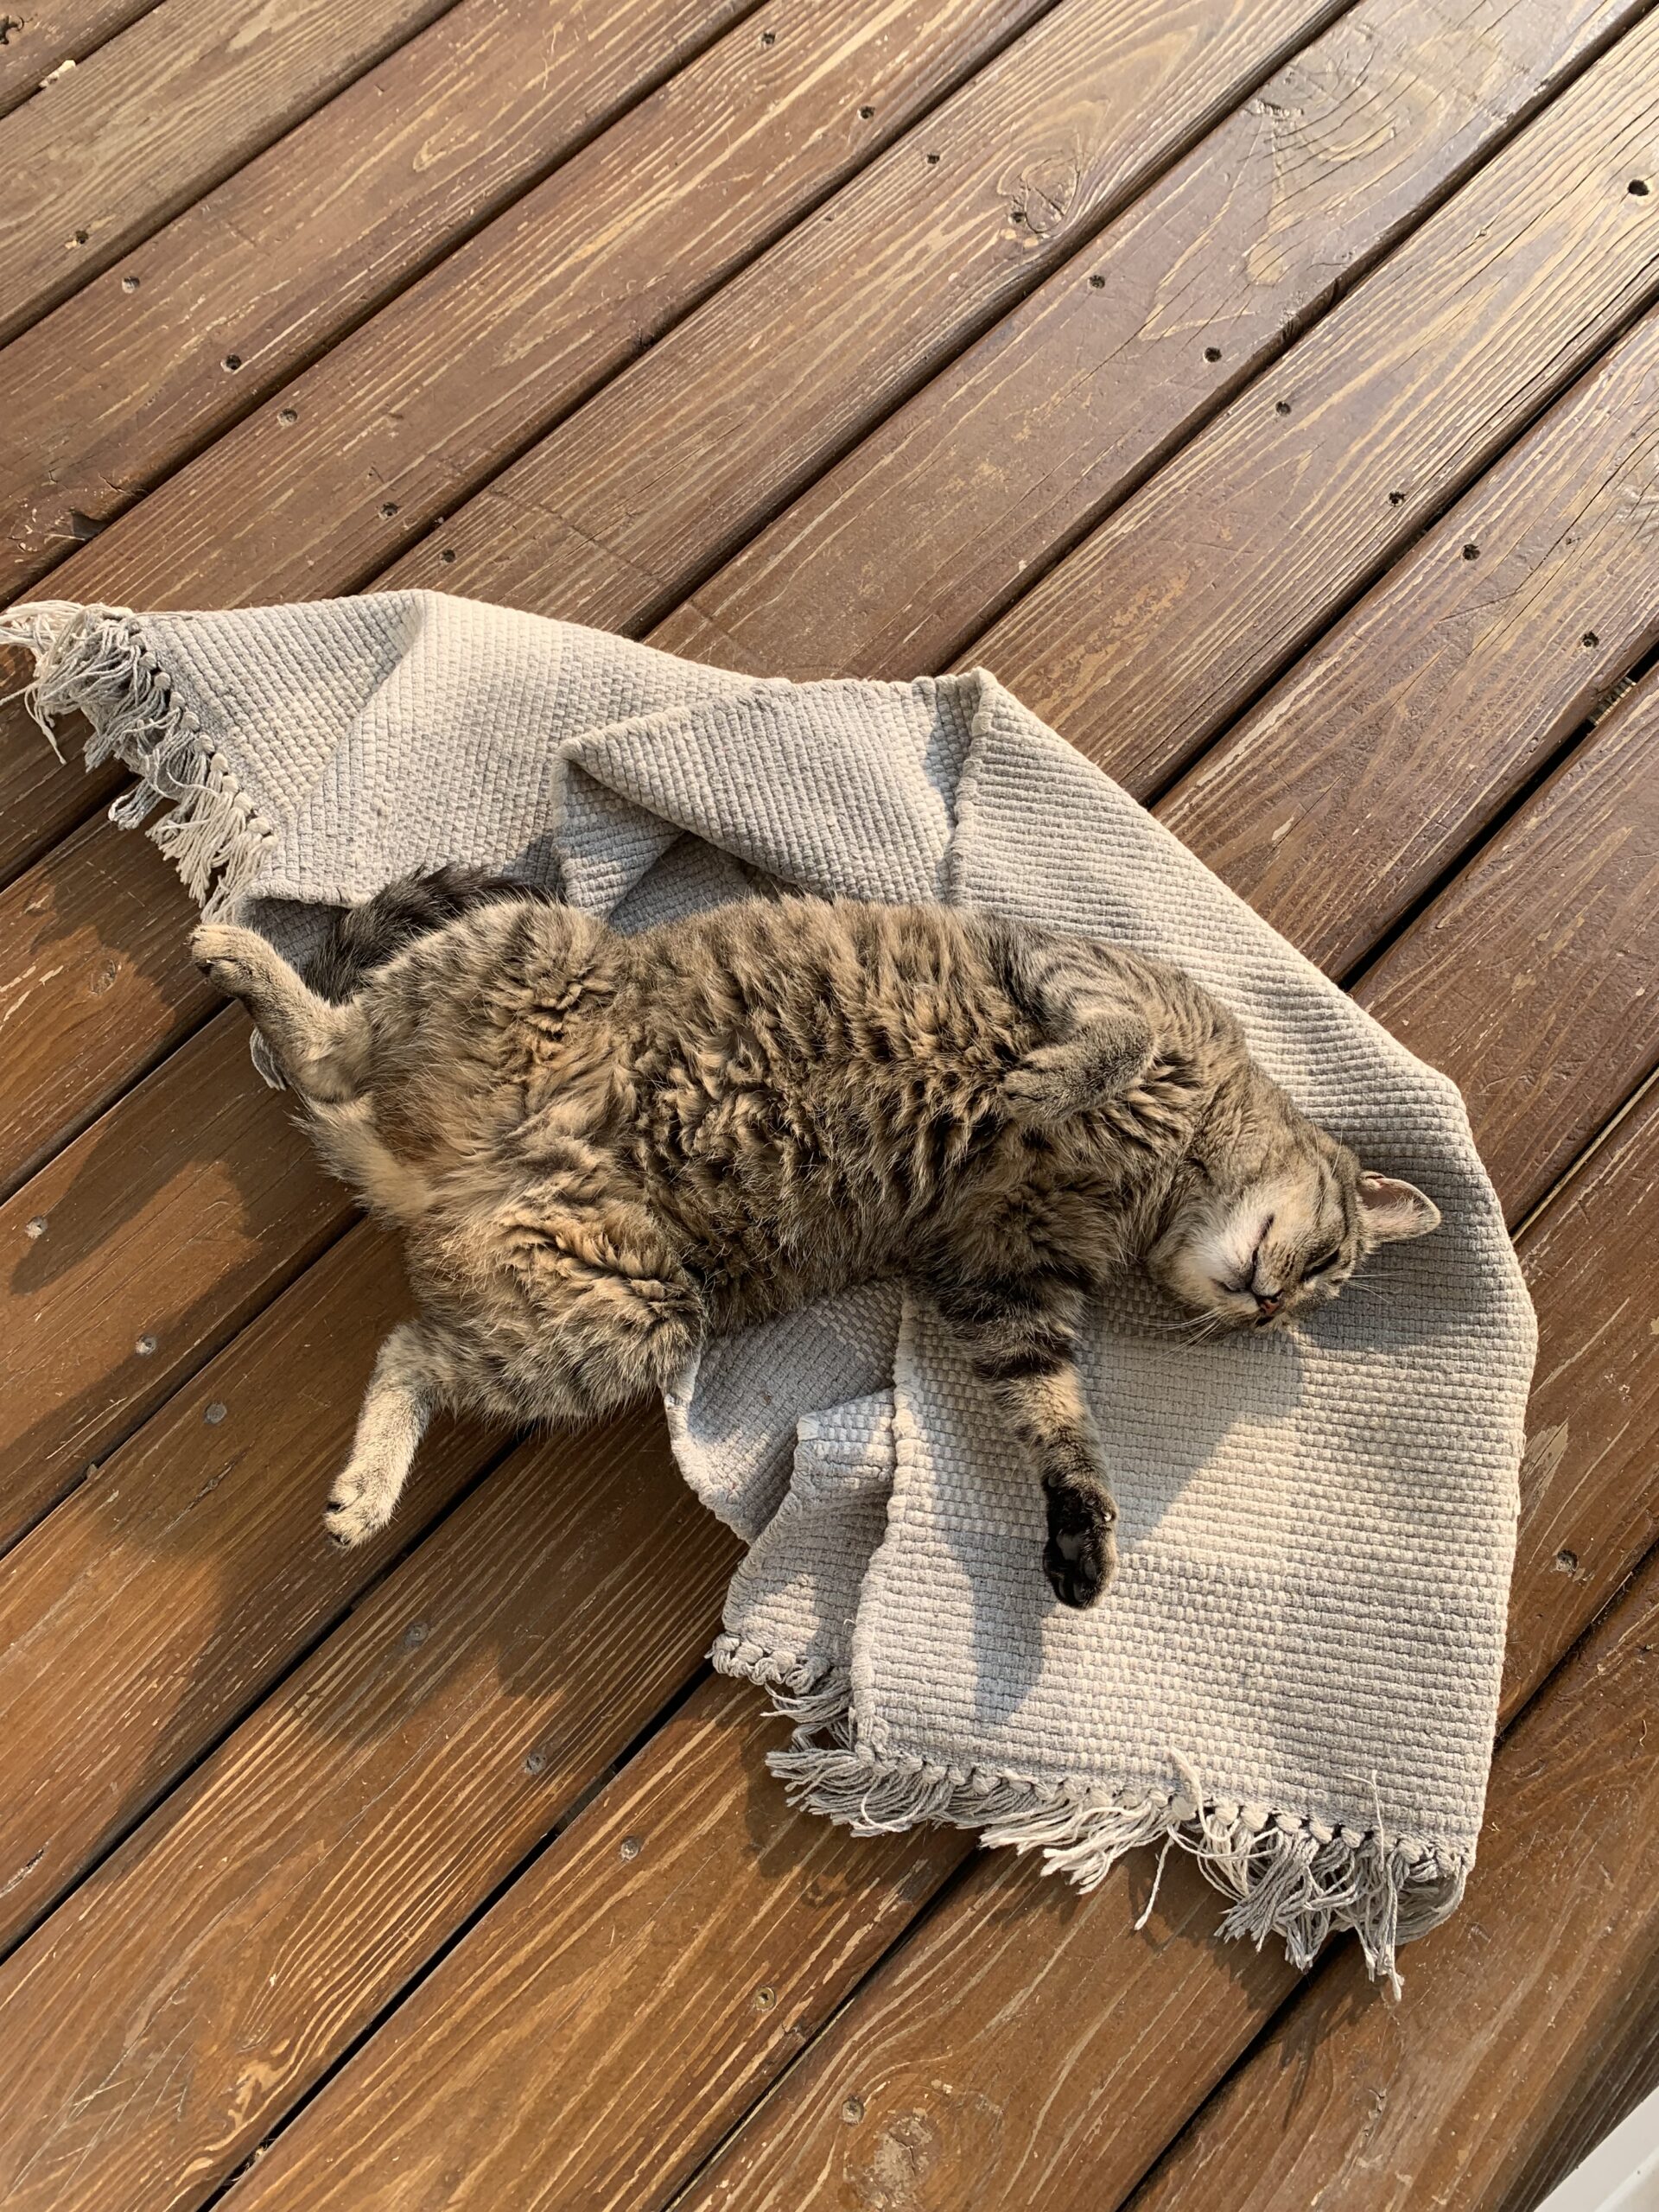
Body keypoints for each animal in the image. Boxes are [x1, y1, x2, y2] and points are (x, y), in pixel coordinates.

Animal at [191, 875, 1442, 1610]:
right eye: (1327, 1265)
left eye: (1303, 1297)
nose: (1267, 1307)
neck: (1155, 1186)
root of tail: (442, 1171)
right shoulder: (1084, 979)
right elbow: (1108, 1043)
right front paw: (1049, 1084)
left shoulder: (1004, 1285)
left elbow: (1056, 1421)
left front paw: (1081, 1532)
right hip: (545, 947)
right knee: (327, 1050)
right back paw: (247, 958)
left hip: (628, 1314)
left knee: (407, 1343)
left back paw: (368, 1485)